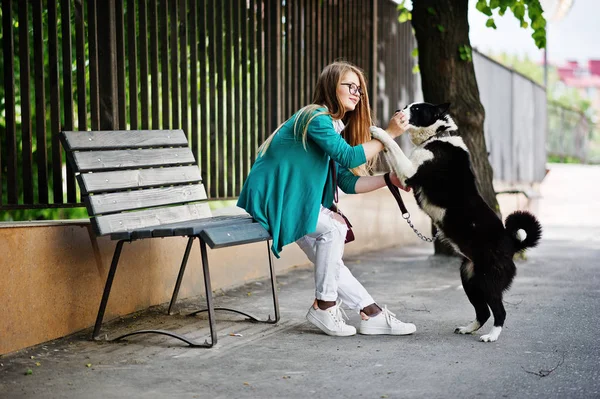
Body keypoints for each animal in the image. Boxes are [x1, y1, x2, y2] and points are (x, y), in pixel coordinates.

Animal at [370, 103, 544, 344]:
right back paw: (468, 328)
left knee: (499, 312)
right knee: (483, 312)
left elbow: (393, 145)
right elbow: (390, 152)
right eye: (406, 106)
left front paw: (378, 131)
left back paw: (491, 336)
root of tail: (512, 244)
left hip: (488, 282)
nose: (397, 111)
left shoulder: (409, 174)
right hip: (469, 278)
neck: (437, 137)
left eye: (416, 109)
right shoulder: (404, 177)